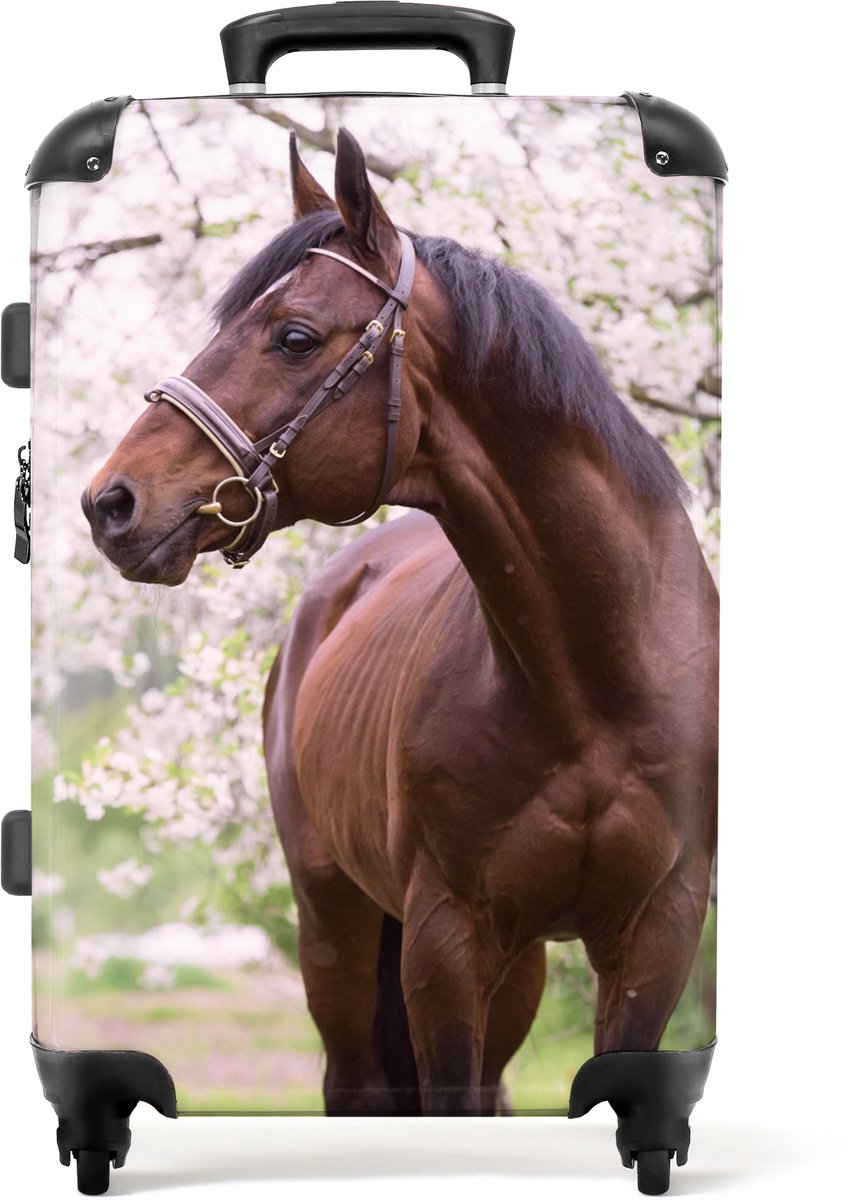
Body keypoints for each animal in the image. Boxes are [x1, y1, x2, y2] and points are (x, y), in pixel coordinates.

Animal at [82, 128, 718, 1117]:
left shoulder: (658, 932)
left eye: (293, 336)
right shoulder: (444, 943)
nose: (110, 503)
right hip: (335, 927)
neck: (597, 683)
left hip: (518, 964)